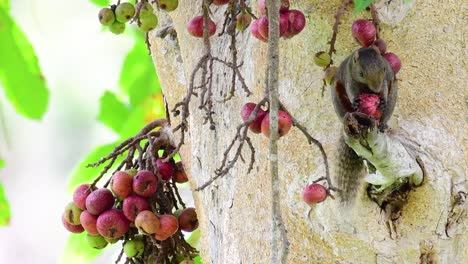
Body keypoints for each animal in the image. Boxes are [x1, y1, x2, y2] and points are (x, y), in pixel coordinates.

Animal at [330, 46, 398, 205]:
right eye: (361, 73)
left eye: (384, 69)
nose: (375, 90)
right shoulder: (349, 79)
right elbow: (352, 91)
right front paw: (355, 100)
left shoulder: (385, 81)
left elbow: (384, 90)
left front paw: (382, 99)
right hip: (337, 98)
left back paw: (382, 123)